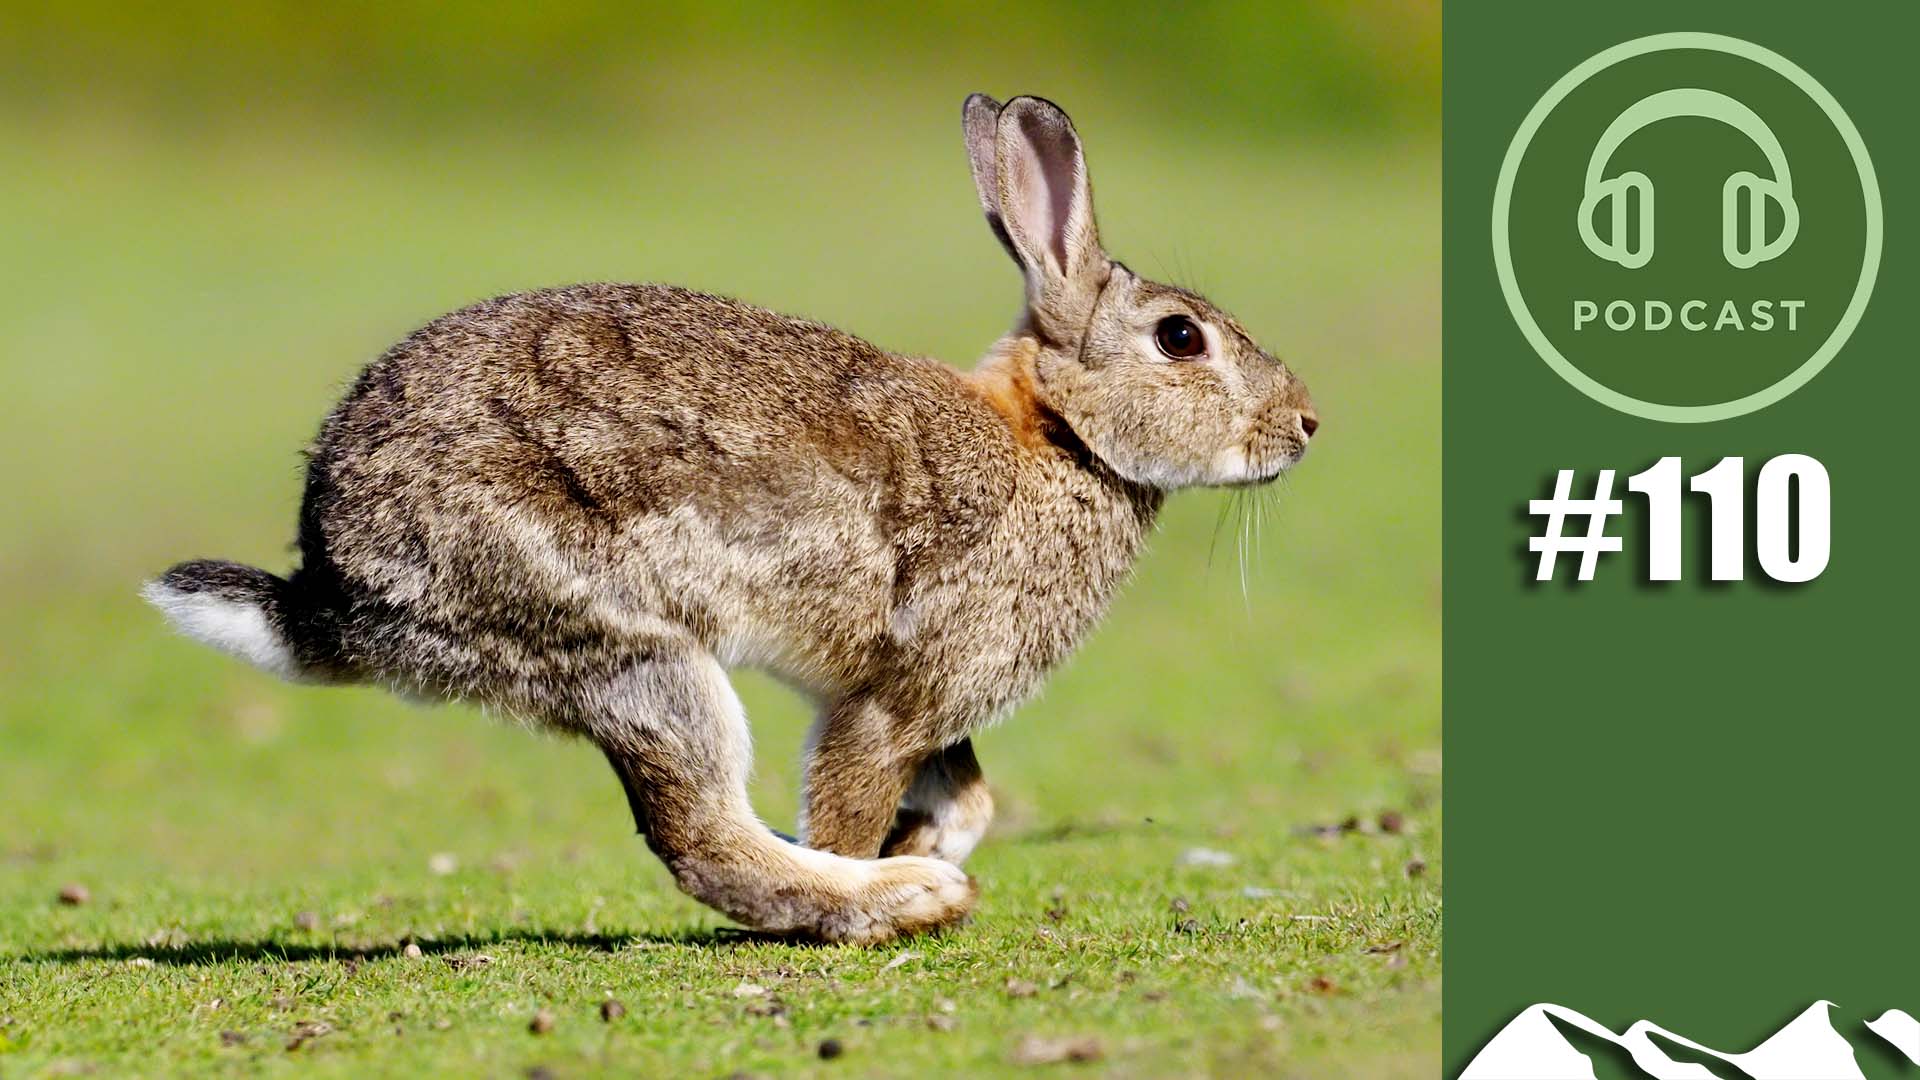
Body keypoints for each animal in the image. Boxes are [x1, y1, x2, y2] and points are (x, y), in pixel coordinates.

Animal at [144, 94, 1317, 943]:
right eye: (1179, 338)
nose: (1305, 424)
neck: (1060, 437)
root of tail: (334, 585)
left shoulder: (923, 700)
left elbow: (973, 796)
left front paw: (923, 835)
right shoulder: (899, 692)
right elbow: (846, 795)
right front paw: (886, 861)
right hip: (626, 644)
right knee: (700, 833)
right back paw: (897, 904)